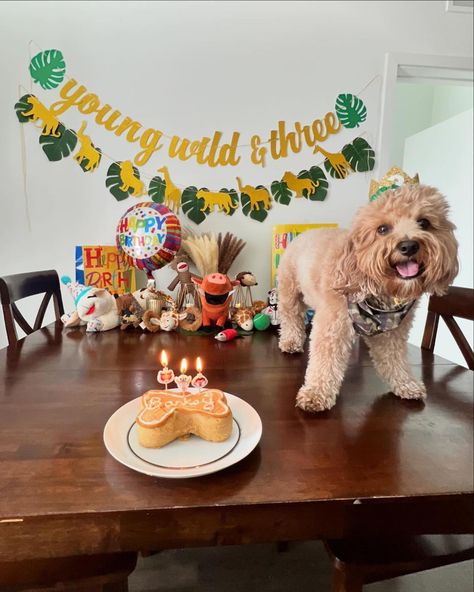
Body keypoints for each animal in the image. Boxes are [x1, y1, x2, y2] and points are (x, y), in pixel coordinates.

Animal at [280, 185, 458, 412]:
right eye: (382, 229)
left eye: (424, 222)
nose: (409, 246)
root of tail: (304, 233)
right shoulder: (333, 327)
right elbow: (325, 361)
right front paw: (315, 394)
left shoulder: (392, 334)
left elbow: (394, 359)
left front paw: (406, 384)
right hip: (290, 290)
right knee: (291, 317)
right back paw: (291, 341)